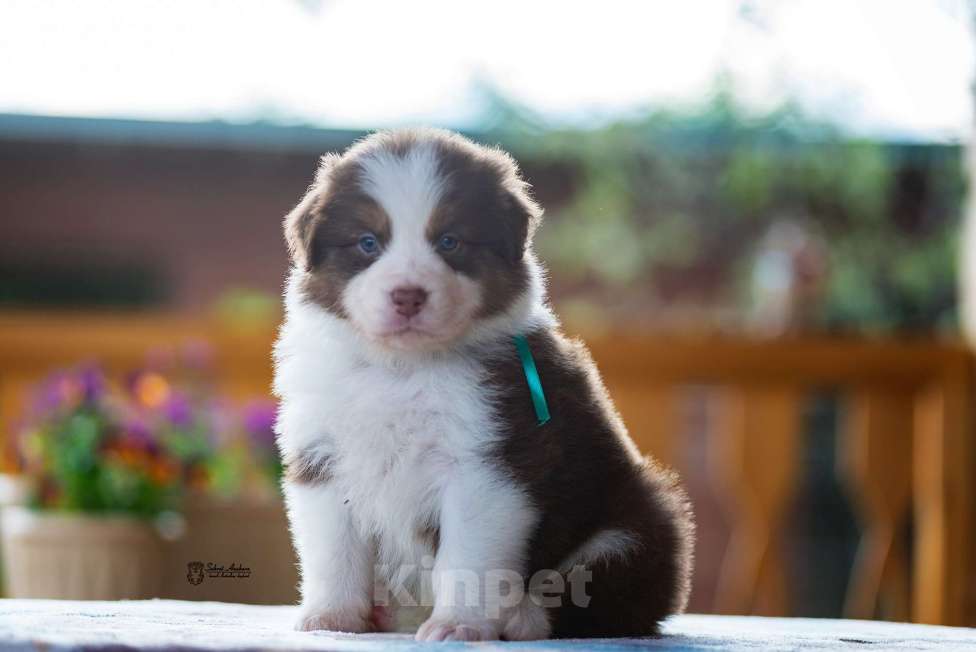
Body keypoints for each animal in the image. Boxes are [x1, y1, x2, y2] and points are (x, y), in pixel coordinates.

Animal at [270, 129, 692, 640]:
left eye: (449, 241)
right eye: (368, 242)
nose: (407, 296)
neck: (401, 369)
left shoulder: (487, 466)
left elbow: (468, 558)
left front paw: (458, 625)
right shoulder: (323, 460)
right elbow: (334, 551)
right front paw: (332, 618)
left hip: (636, 524)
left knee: (595, 599)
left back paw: (518, 617)